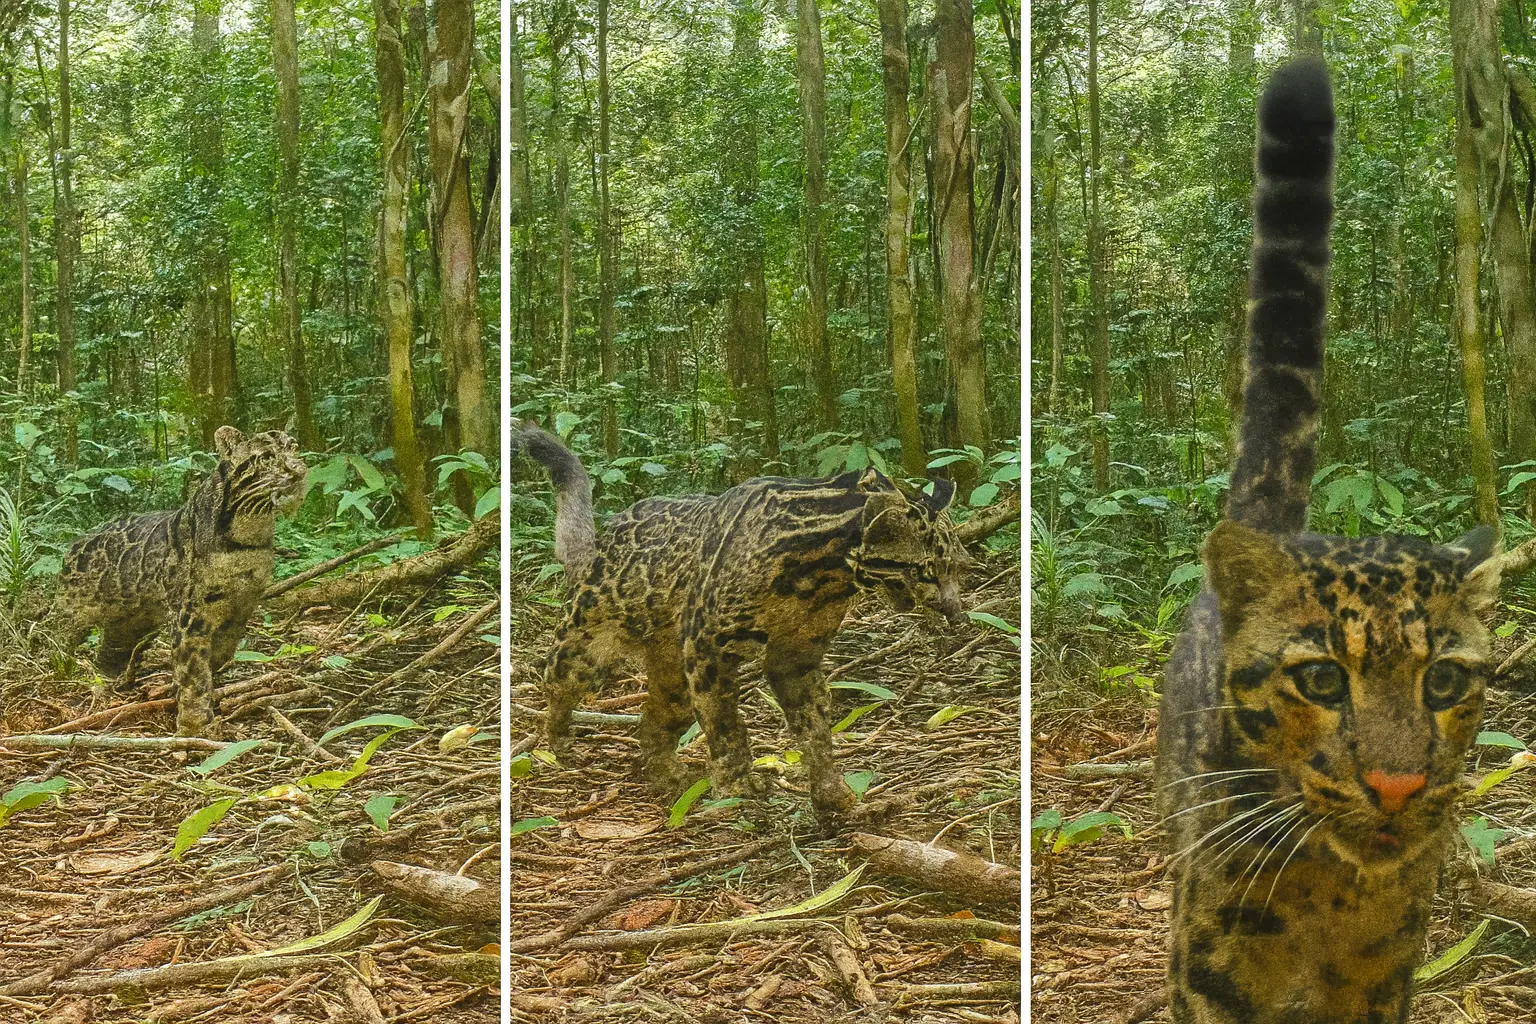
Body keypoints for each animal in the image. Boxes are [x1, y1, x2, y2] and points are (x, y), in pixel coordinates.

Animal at [53, 426, 309, 738]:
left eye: (294, 447)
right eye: (267, 456)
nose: (298, 472)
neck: (250, 531)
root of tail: (76, 544)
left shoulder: (242, 604)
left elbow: (220, 654)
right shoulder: (191, 613)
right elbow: (194, 671)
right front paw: (194, 725)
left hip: (131, 619)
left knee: (111, 647)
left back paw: (111, 679)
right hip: (70, 611)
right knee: (46, 634)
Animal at [512, 420, 972, 825]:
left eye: (956, 567)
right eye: (928, 571)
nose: (954, 609)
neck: (822, 574)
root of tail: (599, 544)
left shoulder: (796, 653)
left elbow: (815, 727)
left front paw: (832, 792)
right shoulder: (708, 644)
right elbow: (725, 723)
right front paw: (736, 785)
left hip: (674, 674)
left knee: (653, 720)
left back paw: (669, 775)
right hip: (587, 648)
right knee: (556, 685)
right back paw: (560, 743)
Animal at [1155, 57, 1502, 1023]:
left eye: (1446, 681)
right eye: (1319, 680)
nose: (1398, 788)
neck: (1332, 890)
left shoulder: (1385, 976)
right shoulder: (1211, 969)